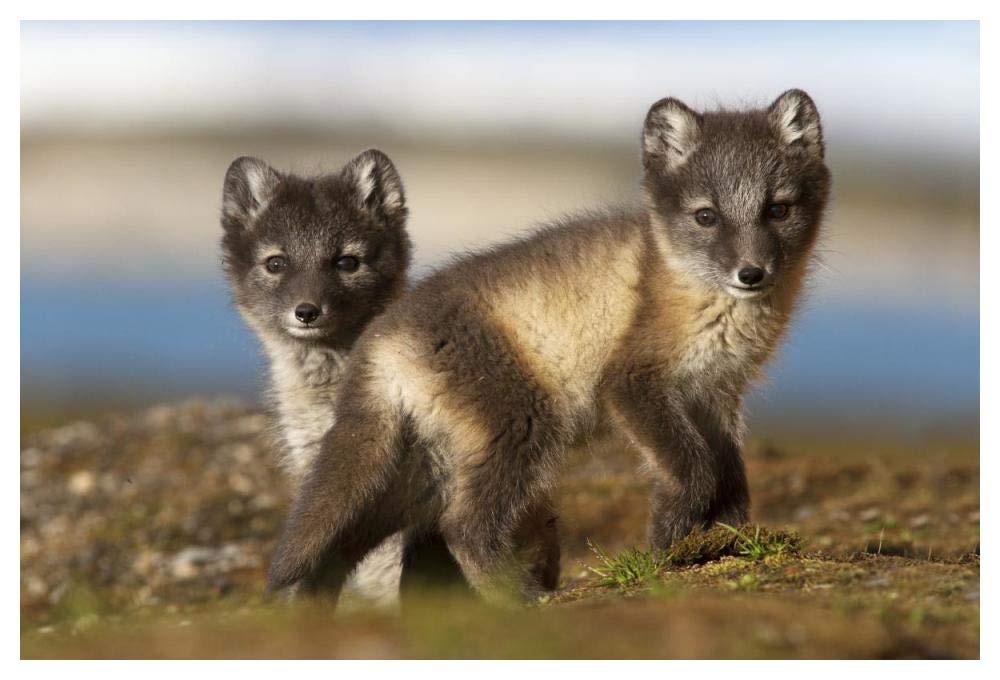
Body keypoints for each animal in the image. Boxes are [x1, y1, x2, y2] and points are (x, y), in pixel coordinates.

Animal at [265, 90, 832, 605]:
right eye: (707, 216)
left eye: (778, 209)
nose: (751, 273)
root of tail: (381, 336)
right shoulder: (633, 383)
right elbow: (695, 469)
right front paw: (668, 545)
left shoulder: (716, 393)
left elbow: (731, 477)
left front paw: (726, 542)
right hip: (520, 423)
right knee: (463, 526)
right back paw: (519, 596)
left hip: (423, 470)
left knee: (351, 541)